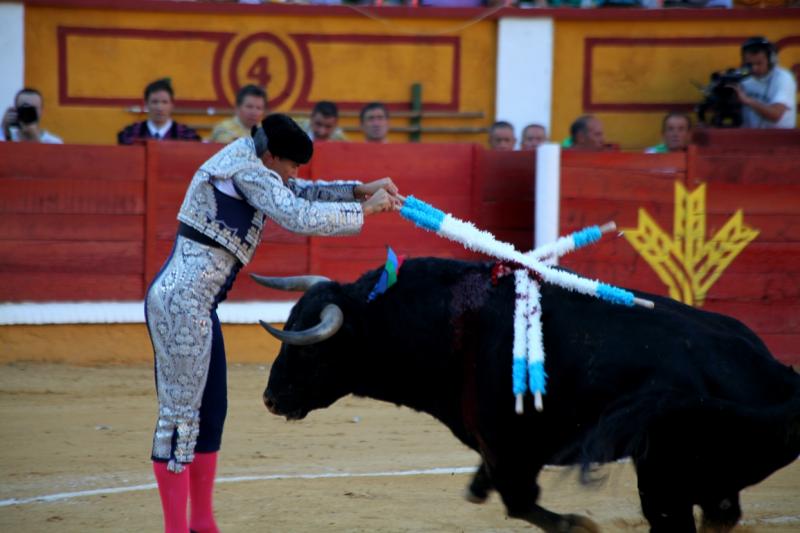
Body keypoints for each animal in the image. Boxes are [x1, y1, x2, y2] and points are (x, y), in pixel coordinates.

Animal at [256, 258, 800, 532]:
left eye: (310, 351)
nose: (270, 399)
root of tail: (779, 377)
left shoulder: (510, 448)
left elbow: (519, 503)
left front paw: (580, 524)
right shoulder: (499, 449)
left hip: (667, 477)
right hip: (706, 477)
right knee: (720, 515)